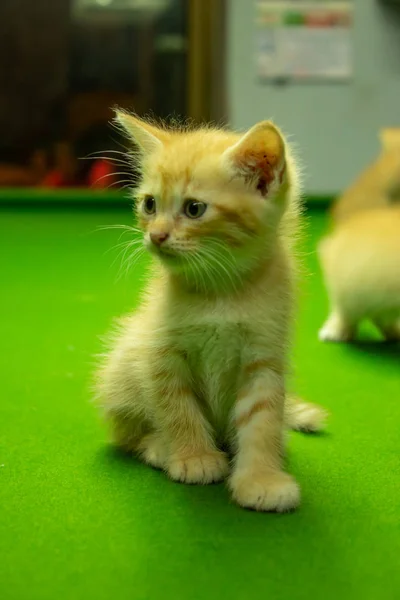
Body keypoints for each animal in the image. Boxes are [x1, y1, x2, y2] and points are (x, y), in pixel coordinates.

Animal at [97, 113, 324, 510]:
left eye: (194, 209)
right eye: (150, 204)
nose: (155, 236)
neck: (220, 291)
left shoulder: (264, 359)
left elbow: (263, 420)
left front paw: (261, 478)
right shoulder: (161, 351)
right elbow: (177, 407)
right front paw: (194, 457)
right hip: (123, 364)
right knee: (126, 432)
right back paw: (158, 446)